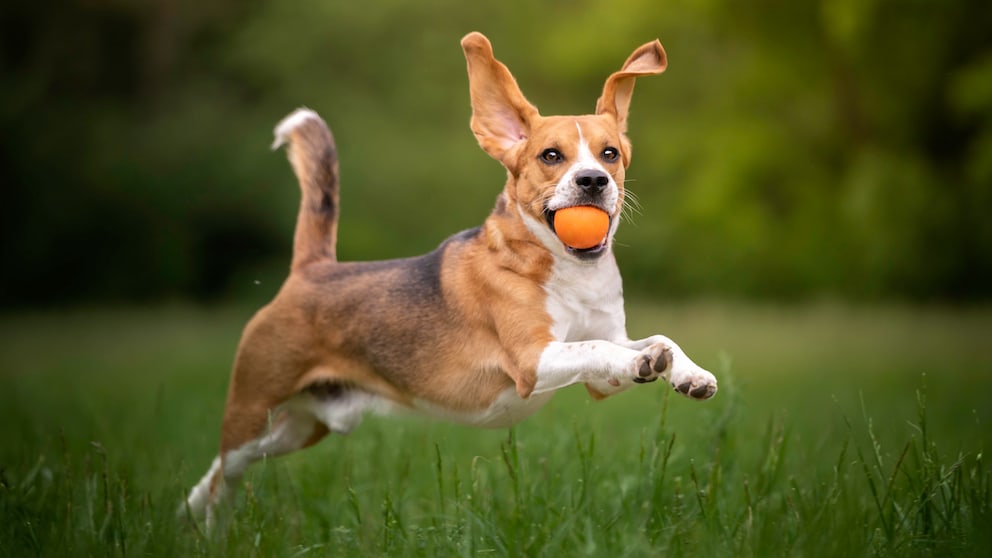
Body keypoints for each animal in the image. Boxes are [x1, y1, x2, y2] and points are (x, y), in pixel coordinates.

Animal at [184, 31, 712, 528]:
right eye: (550, 156)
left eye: (609, 154)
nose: (593, 181)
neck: (567, 270)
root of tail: (311, 270)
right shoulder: (533, 361)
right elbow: (595, 347)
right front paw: (652, 362)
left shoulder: (604, 375)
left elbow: (648, 342)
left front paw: (685, 372)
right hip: (252, 409)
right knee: (224, 474)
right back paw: (211, 530)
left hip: (301, 427)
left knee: (216, 475)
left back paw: (189, 513)